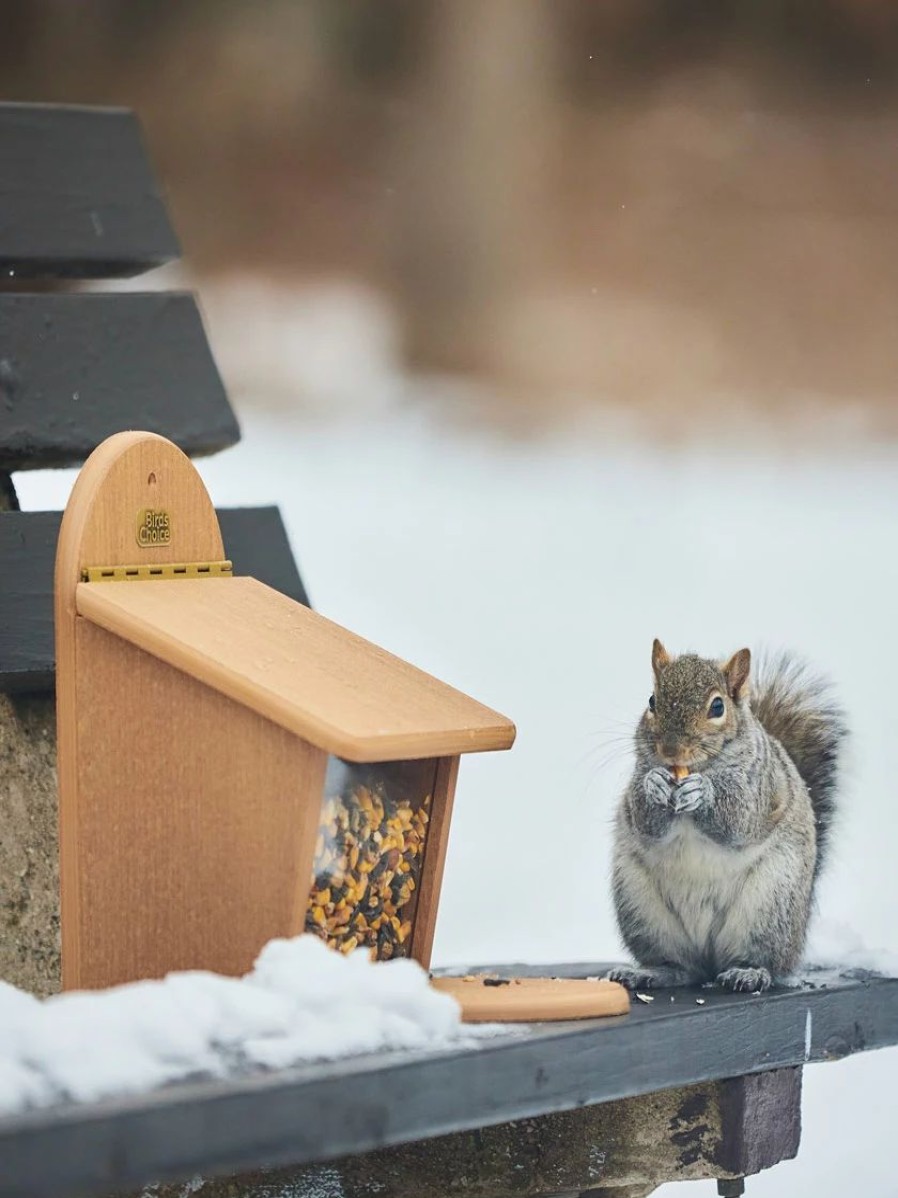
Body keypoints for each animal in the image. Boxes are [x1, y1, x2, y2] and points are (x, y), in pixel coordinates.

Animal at [608, 642, 847, 996]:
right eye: (652, 701)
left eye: (717, 706)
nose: (670, 750)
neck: (697, 768)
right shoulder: (639, 781)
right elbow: (644, 819)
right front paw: (654, 785)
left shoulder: (759, 787)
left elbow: (738, 819)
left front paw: (703, 792)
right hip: (643, 912)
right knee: (683, 967)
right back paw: (654, 973)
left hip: (769, 908)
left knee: (763, 961)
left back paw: (749, 973)